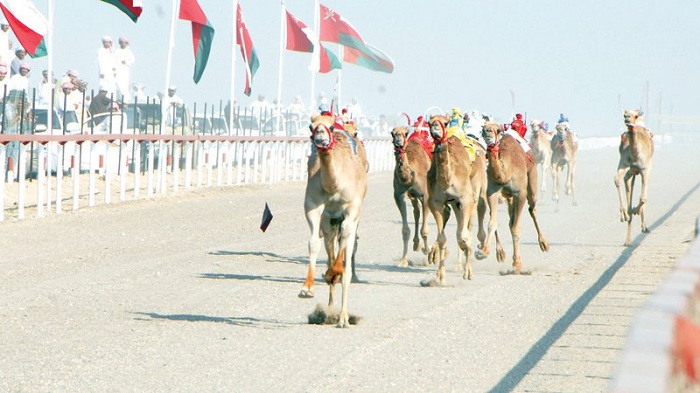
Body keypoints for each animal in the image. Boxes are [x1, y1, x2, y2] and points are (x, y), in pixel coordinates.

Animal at [300, 115, 370, 326]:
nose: (321, 136)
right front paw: (307, 288)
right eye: (311, 126)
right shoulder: (313, 206)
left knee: (348, 253)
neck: (333, 184)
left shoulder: (353, 207)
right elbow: (313, 243)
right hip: (329, 224)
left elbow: (347, 234)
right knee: (330, 252)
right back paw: (329, 311)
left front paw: (335, 272)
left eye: (331, 127)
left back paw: (343, 318)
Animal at [392, 121, 434, 264]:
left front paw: (428, 251)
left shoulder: (426, 195)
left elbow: (425, 230)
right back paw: (416, 244)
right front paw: (403, 260)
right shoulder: (399, 195)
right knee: (417, 211)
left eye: (405, 133)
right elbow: (405, 230)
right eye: (392, 133)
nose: (398, 142)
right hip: (413, 197)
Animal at [476, 121, 552, 272]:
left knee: (532, 209)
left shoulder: (520, 194)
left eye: (498, 130)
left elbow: (516, 229)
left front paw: (517, 264)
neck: (506, 172)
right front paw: (483, 252)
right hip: (508, 197)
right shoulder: (492, 192)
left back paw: (544, 243)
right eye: (483, 128)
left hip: (532, 180)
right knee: (510, 220)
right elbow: (492, 223)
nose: (487, 132)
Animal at [616, 108, 652, 245]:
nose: (627, 120)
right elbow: (616, 180)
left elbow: (643, 198)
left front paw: (635, 211)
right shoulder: (623, 163)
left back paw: (643, 226)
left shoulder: (645, 169)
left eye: (635, 115)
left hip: (640, 170)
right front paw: (625, 214)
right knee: (626, 179)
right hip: (631, 170)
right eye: (624, 115)